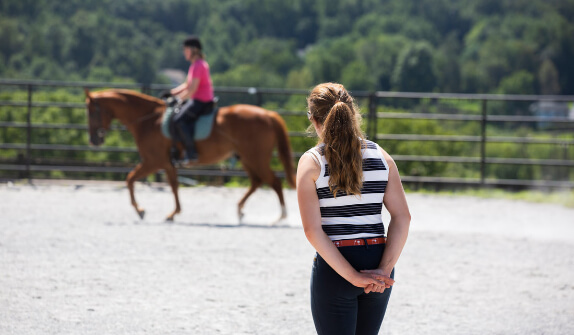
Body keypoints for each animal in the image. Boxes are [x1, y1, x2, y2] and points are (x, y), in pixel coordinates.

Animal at [85, 88, 296, 222]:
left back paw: (281, 216)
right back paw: (240, 211)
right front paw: (174, 213)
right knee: (257, 182)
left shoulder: (153, 161)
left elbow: (129, 179)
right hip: (247, 158)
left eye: (92, 112)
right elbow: (174, 186)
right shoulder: (167, 164)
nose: (94, 140)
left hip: (256, 158)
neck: (149, 121)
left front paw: (140, 211)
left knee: (274, 182)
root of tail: (268, 114)